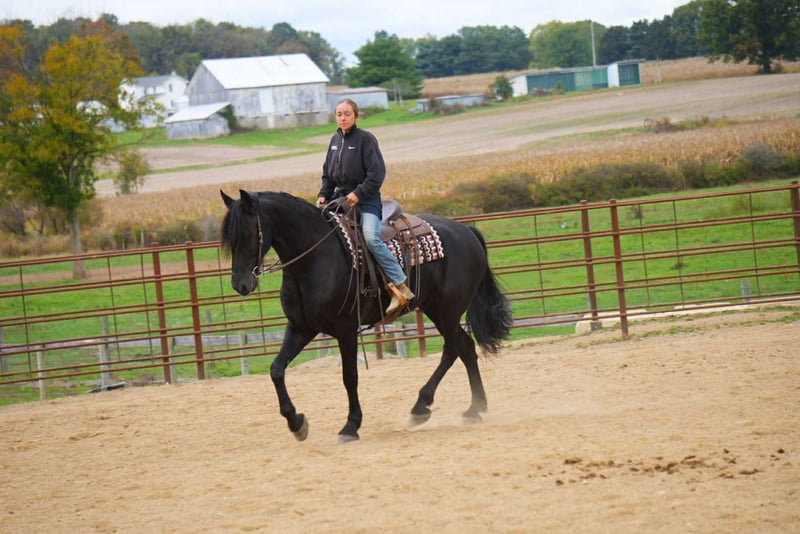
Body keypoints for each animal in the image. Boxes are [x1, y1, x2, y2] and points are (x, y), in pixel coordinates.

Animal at [220, 190, 513, 443]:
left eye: (246, 233)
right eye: (229, 239)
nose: (240, 284)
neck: (315, 260)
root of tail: (466, 231)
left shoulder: (346, 330)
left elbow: (349, 376)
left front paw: (351, 426)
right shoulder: (300, 328)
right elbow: (276, 369)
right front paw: (297, 423)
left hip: (447, 309)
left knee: (452, 349)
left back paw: (421, 407)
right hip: (436, 309)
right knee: (465, 347)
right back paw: (475, 409)